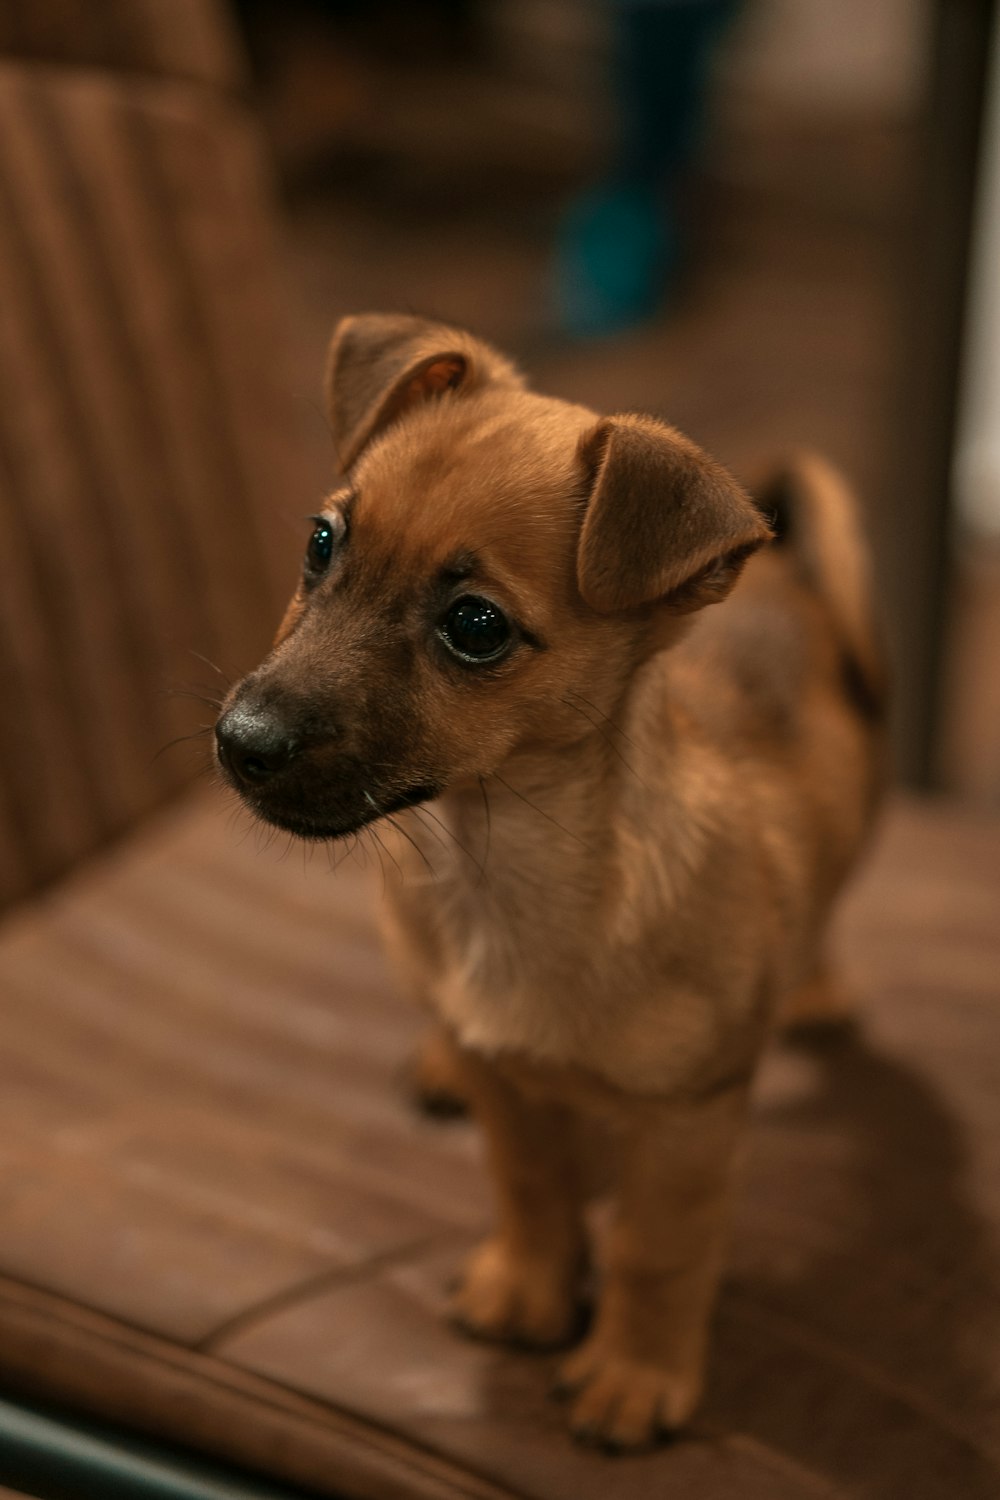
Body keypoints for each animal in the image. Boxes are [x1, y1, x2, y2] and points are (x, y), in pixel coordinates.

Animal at [215, 310, 887, 1446]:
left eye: (476, 628)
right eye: (320, 544)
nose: (239, 743)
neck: (497, 869)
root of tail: (785, 574)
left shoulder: (689, 1121)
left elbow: (657, 1254)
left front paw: (635, 1372)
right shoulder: (510, 1090)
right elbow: (526, 1181)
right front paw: (529, 1290)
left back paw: (819, 987)